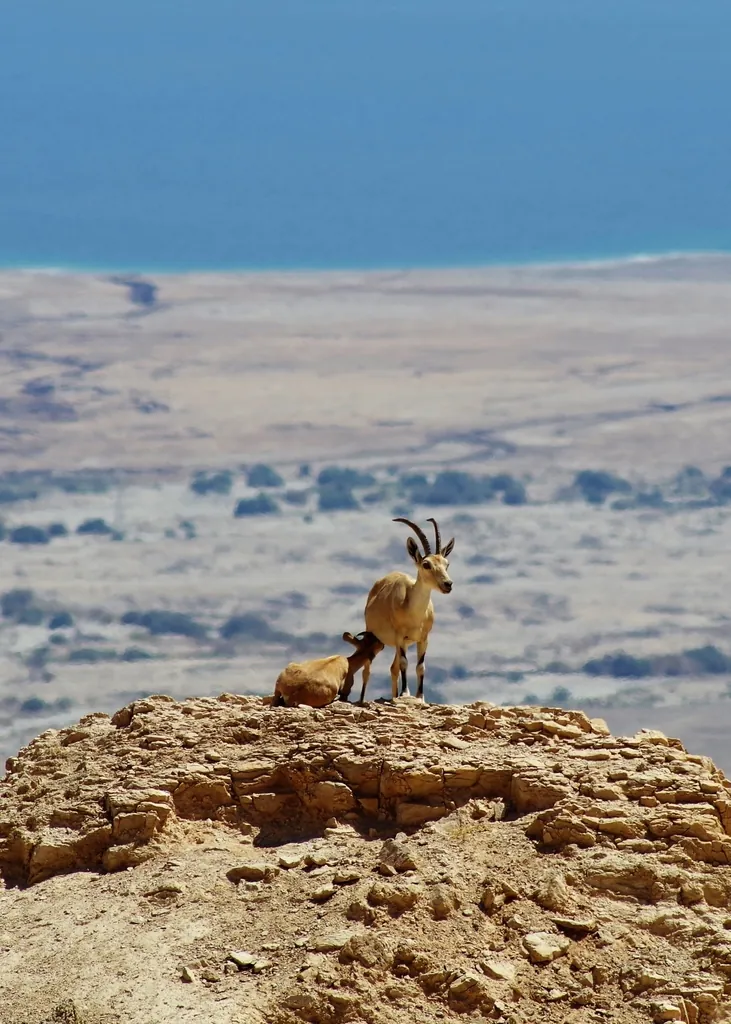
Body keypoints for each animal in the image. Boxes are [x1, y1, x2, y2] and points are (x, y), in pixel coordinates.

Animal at [363, 517, 455, 703]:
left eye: (446, 563)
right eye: (426, 564)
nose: (447, 584)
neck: (414, 614)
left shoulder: (423, 638)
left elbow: (420, 666)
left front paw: (420, 696)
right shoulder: (400, 636)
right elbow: (405, 663)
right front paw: (405, 693)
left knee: (393, 668)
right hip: (374, 636)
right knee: (369, 668)